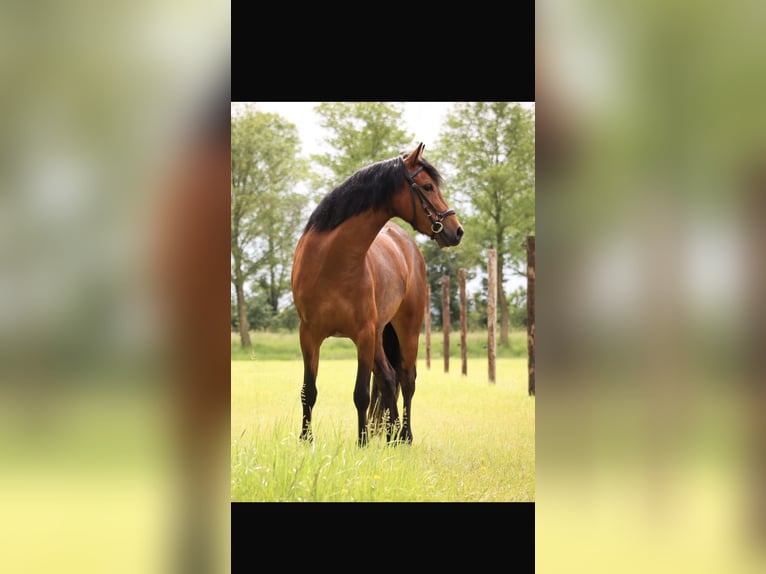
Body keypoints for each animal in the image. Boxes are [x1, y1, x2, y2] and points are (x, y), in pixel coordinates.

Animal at [292, 142, 464, 448]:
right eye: (428, 186)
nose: (456, 230)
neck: (331, 263)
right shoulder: (309, 335)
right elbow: (308, 390)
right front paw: (306, 439)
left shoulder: (363, 333)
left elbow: (360, 393)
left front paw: (361, 442)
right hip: (380, 335)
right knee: (388, 378)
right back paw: (392, 435)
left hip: (405, 329)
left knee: (406, 379)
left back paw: (405, 436)